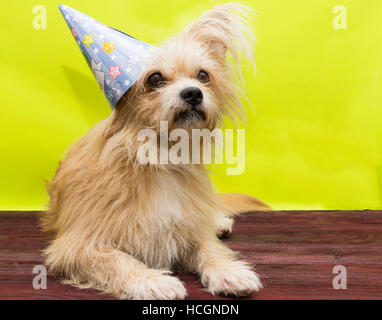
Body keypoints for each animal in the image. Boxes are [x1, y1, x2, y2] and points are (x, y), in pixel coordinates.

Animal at [40, 2, 264, 298]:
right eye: (155, 79)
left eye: (203, 75)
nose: (193, 93)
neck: (160, 157)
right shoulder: (78, 245)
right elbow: (118, 260)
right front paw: (152, 280)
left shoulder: (188, 228)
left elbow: (209, 248)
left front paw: (228, 271)